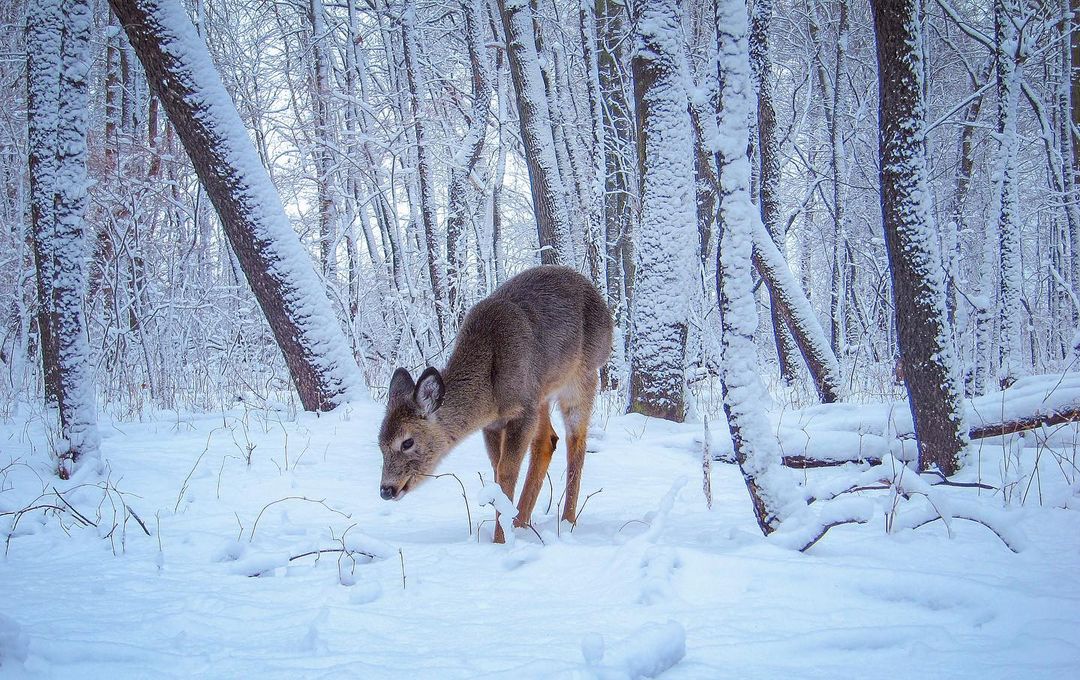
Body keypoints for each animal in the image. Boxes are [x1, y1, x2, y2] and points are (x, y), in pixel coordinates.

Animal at [380, 265, 617, 544]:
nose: (386, 489)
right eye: (380, 444)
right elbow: (496, 472)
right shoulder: (494, 423)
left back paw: (567, 521)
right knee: (547, 441)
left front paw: (500, 541)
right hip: (542, 394)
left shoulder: (522, 409)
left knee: (576, 442)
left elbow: (507, 471)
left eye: (407, 442)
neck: (490, 388)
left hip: (582, 377)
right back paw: (521, 521)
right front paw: (504, 532)